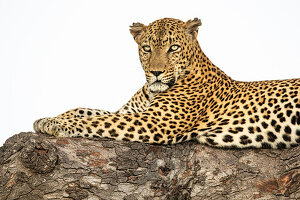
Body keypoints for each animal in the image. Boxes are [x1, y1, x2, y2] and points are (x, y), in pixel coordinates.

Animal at [33, 17, 300, 148]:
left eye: (173, 48)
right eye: (147, 48)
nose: (156, 72)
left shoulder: (155, 121)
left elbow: (98, 121)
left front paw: (55, 124)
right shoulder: (133, 111)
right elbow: (84, 110)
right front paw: (49, 118)